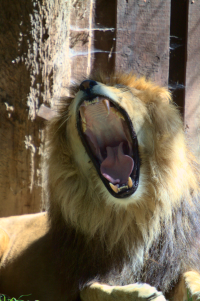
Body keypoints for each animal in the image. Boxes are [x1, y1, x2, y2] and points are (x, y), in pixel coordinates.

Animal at [0, 73, 200, 300]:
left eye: (121, 87)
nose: (86, 84)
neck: (132, 216)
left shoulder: (177, 261)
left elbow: (191, 275)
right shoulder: (80, 280)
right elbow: (99, 289)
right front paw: (142, 292)